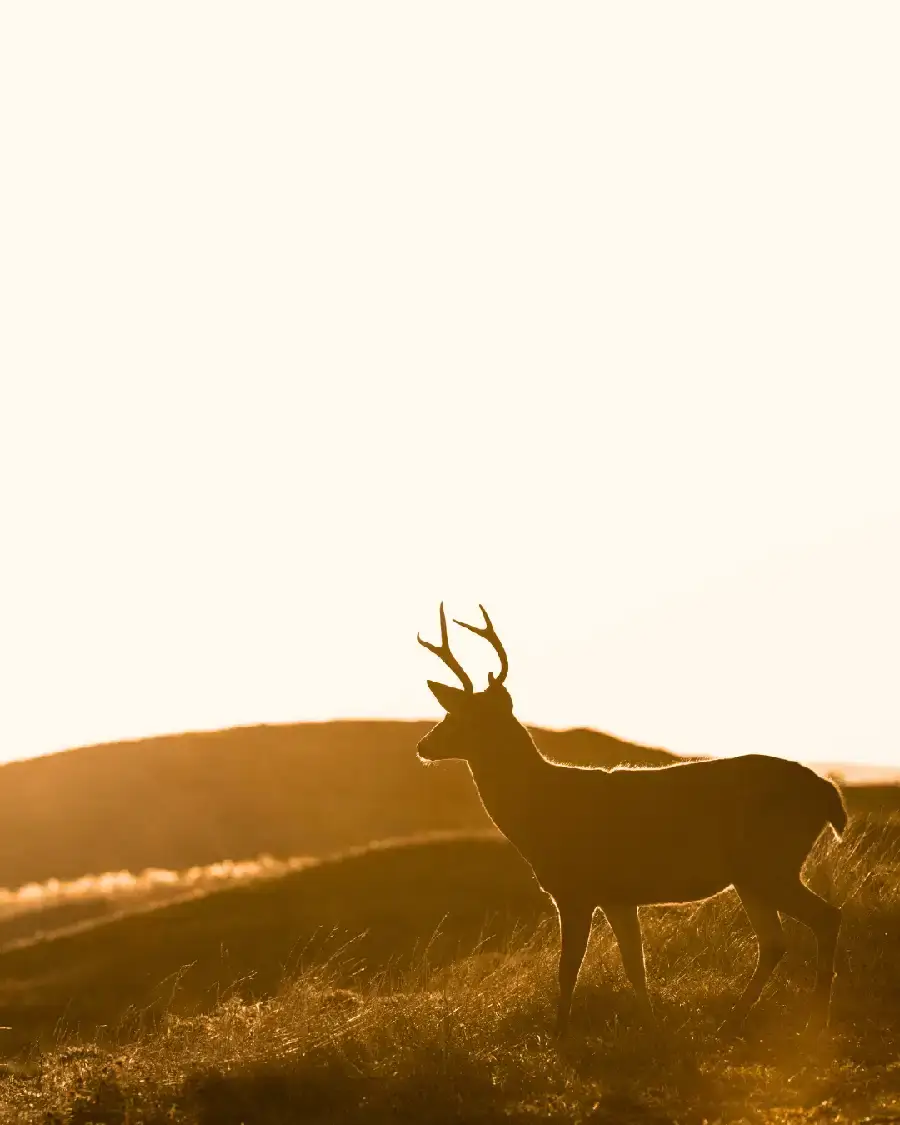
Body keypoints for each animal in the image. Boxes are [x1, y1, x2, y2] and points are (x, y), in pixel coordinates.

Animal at [416, 603, 846, 1038]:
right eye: (451, 711)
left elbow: (567, 970)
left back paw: (817, 1023)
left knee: (826, 917)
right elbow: (634, 966)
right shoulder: (618, 897)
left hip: (771, 862)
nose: (423, 745)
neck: (543, 809)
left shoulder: (577, 890)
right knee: (775, 940)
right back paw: (732, 1022)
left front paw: (560, 1035)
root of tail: (828, 792)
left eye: (463, 716)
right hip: (753, 875)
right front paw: (651, 1027)